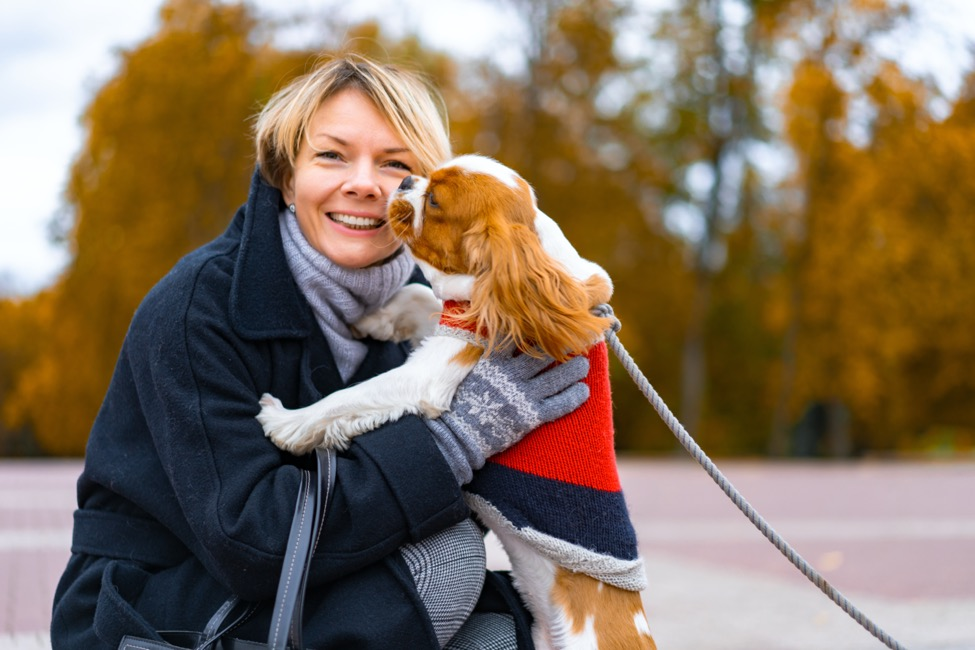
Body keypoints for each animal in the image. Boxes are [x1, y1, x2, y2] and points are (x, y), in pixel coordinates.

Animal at [255, 154, 660, 644]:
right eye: (423, 177)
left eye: (433, 200)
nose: (406, 181)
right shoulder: (459, 320)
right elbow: (419, 294)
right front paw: (375, 318)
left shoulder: (434, 369)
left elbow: (348, 398)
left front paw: (285, 421)